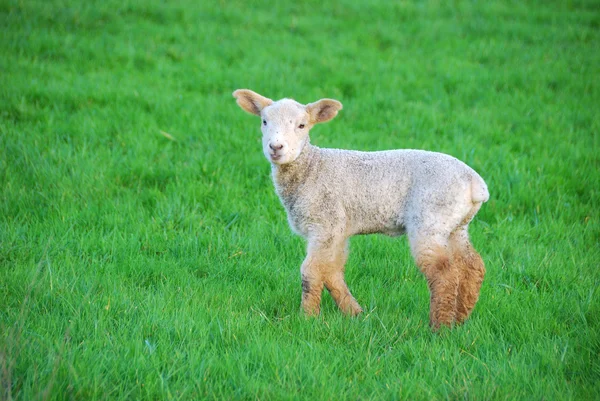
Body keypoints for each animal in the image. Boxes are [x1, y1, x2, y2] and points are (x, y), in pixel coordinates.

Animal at [232, 89, 490, 330]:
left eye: (302, 125)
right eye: (264, 122)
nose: (275, 147)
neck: (311, 168)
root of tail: (474, 183)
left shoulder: (325, 224)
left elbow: (311, 271)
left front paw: (307, 318)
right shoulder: (337, 230)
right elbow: (332, 272)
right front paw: (355, 313)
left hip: (430, 218)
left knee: (444, 273)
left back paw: (439, 328)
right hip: (456, 224)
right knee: (472, 266)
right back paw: (461, 318)